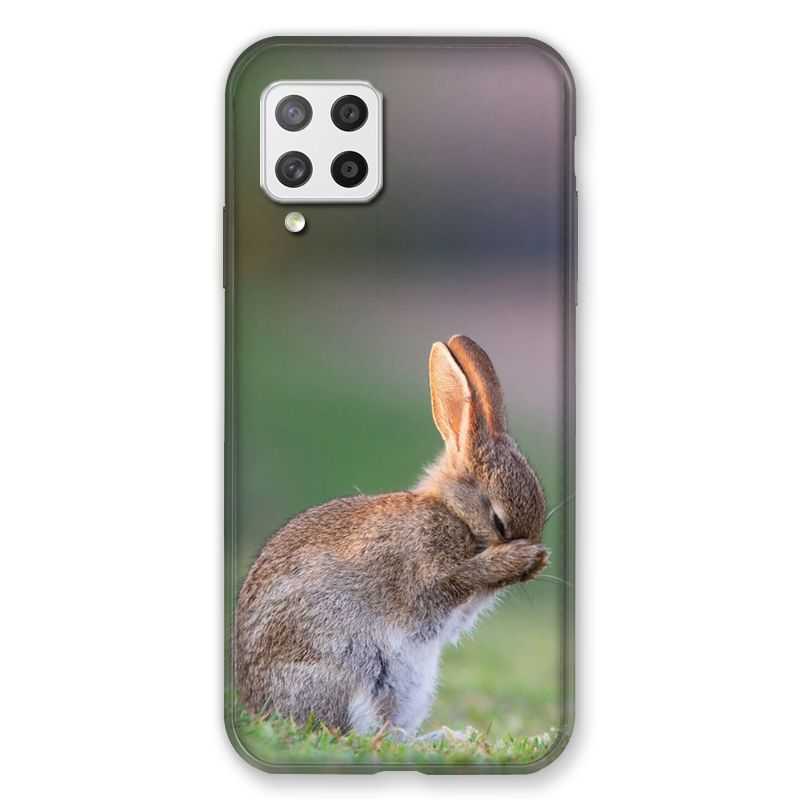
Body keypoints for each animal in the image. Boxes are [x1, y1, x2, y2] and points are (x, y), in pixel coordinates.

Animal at [235, 334, 549, 736]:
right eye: (498, 521)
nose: (534, 556)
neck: (453, 512)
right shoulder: (426, 571)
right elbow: (454, 580)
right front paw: (519, 558)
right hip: (352, 668)